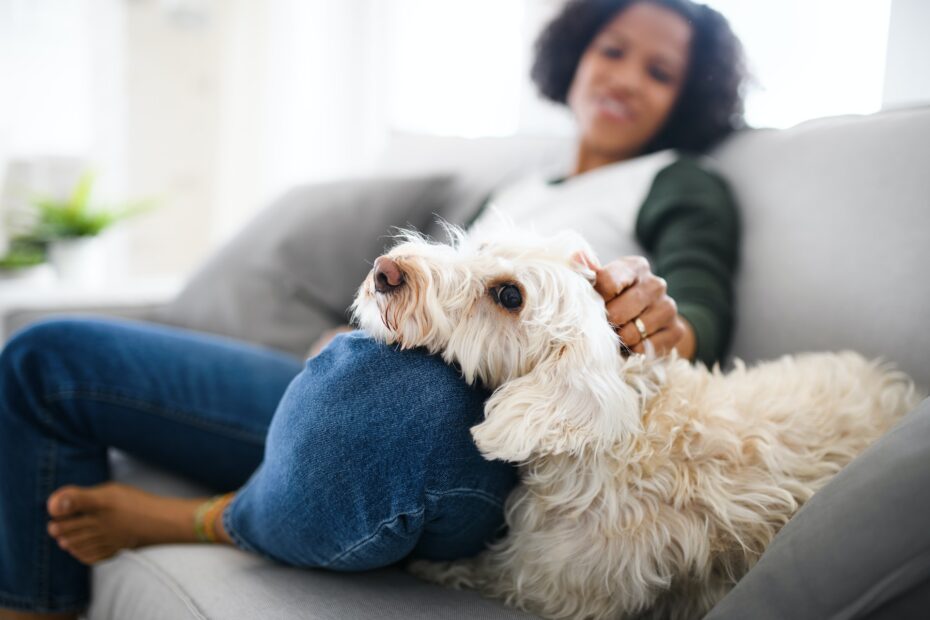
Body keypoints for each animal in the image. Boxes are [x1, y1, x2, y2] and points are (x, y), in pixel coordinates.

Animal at [350, 229, 920, 620]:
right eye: (483, 244)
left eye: (509, 296)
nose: (385, 270)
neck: (626, 435)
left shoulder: (552, 584)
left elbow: (480, 571)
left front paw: (428, 567)